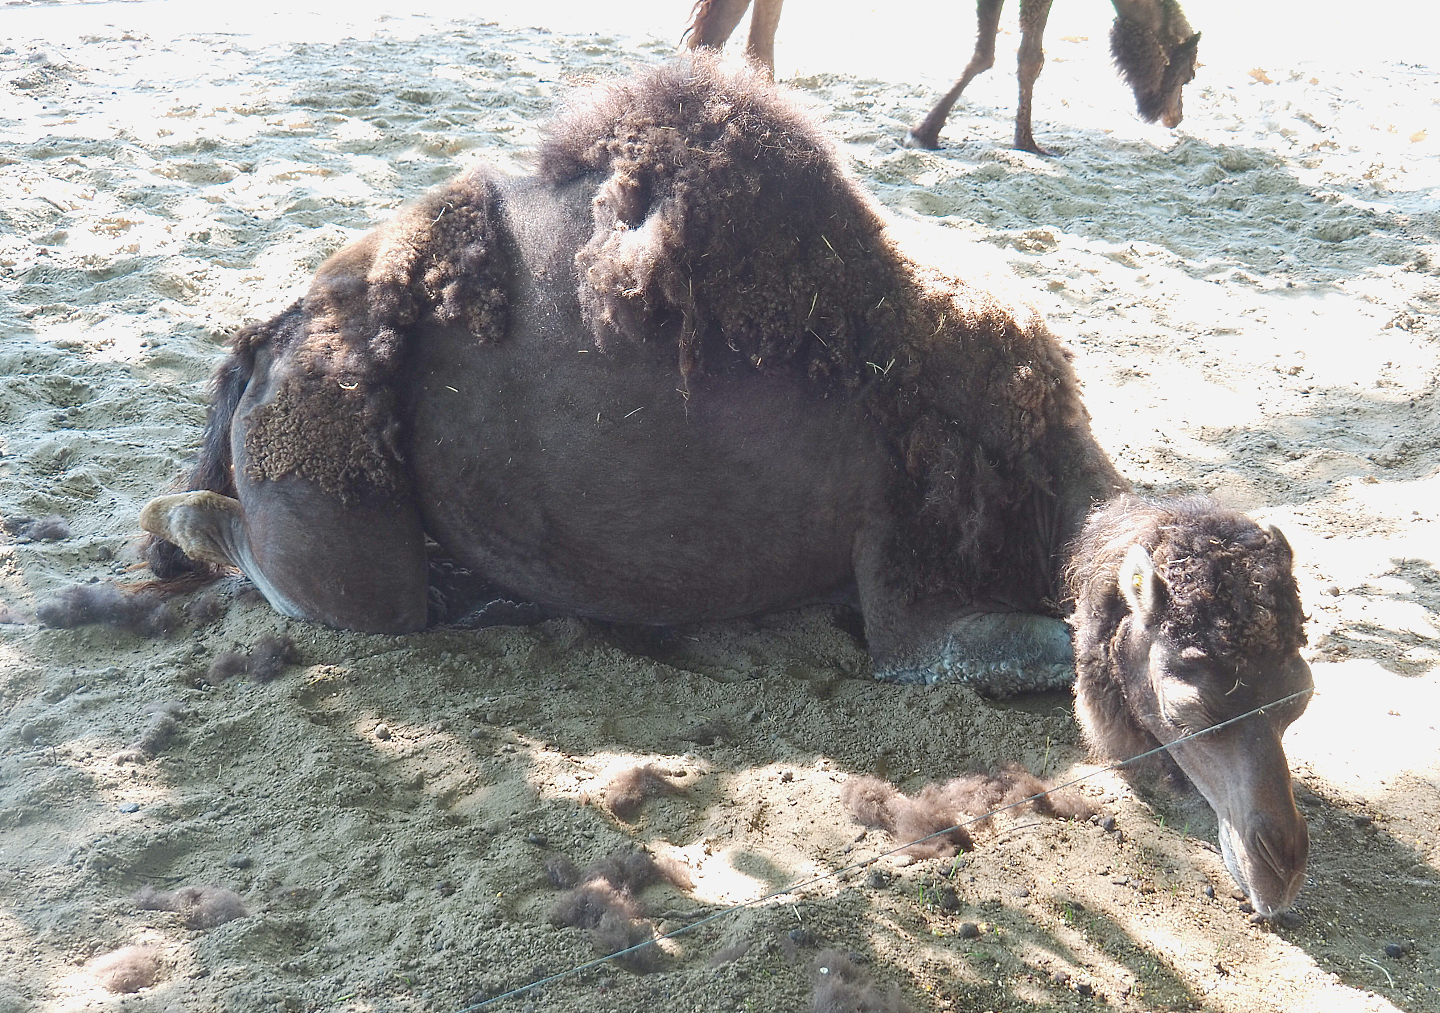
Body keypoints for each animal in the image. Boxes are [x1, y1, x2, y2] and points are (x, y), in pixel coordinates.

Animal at [139, 56, 1309, 917]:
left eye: (1300, 688)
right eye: (1192, 677)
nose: (1281, 858)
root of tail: (270, 335)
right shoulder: (907, 585)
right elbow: (1003, 645)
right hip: (328, 478)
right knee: (309, 572)